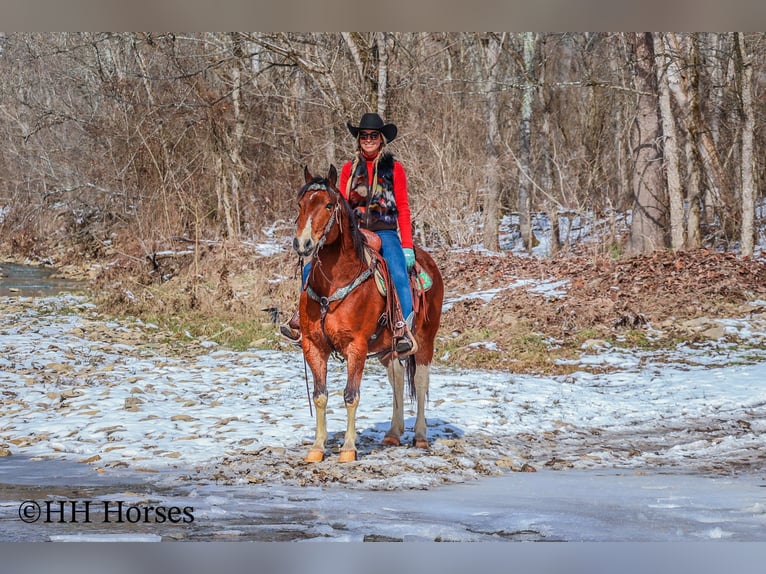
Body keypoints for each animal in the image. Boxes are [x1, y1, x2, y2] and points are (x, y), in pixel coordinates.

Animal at [292, 165, 444, 463]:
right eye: (301, 205)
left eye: (328, 205)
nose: (303, 244)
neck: (335, 283)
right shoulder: (313, 345)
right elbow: (320, 395)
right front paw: (317, 447)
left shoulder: (356, 346)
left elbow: (351, 395)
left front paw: (348, 448)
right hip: (389, 348)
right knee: (397, 377)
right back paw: (393, 434)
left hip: (425, 340)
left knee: (420, 381)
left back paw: (420, 437)